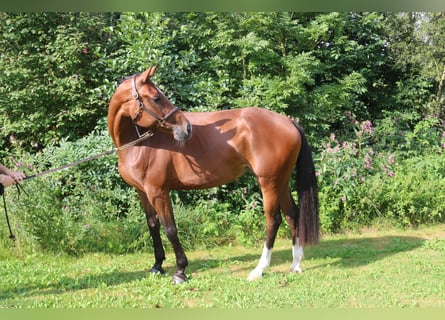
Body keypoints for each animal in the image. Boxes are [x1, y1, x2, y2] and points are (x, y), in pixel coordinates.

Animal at [108, 66, 320, 284]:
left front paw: (180, 271)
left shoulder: (158, 191)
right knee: (292, 215)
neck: (140, 144)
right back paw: (295, 265)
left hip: (269, 182)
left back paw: (259, 270)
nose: (186, 128)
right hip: (281, 181)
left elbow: (170, 229)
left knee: (273, 220)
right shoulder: (143, 192)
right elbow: (153, 226)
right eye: (156, 98)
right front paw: (157, 266)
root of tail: (288, 121)